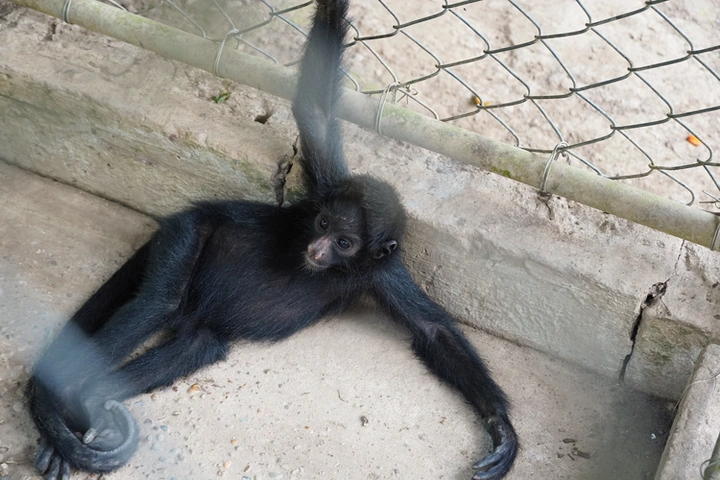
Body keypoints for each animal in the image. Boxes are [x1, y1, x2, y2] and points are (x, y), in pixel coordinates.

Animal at [26, 1, 518, 479]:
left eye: (344, 242)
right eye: (322, 225)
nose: (316, 249)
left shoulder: (382, 270)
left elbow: (434, 331)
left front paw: (500, 428)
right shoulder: (327, 189)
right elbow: (315, 108)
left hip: (199, 322)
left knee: (200, 342)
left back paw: (90, 400)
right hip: (189, 230)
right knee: (160, 302)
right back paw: (69, 395)